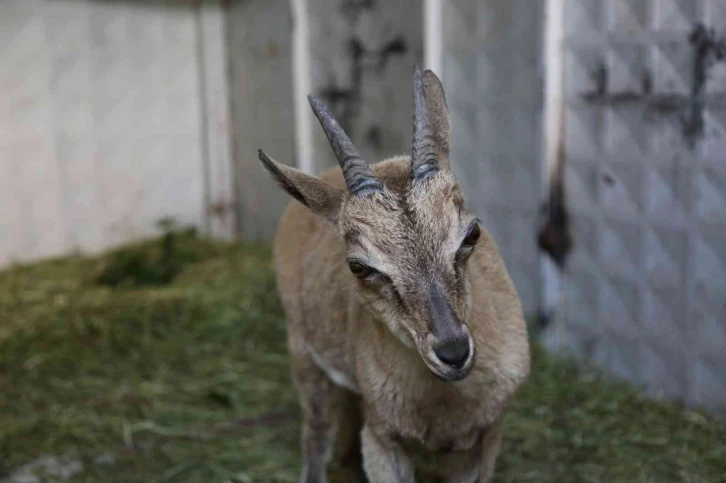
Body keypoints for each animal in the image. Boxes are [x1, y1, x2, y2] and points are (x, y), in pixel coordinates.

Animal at [260, 68, 528, 483]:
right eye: (358, 265)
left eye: (472, 233)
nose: (453, 352)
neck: (442, 402)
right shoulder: (383, 438)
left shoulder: (484, 440)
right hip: (303, 354)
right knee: (316, 433)